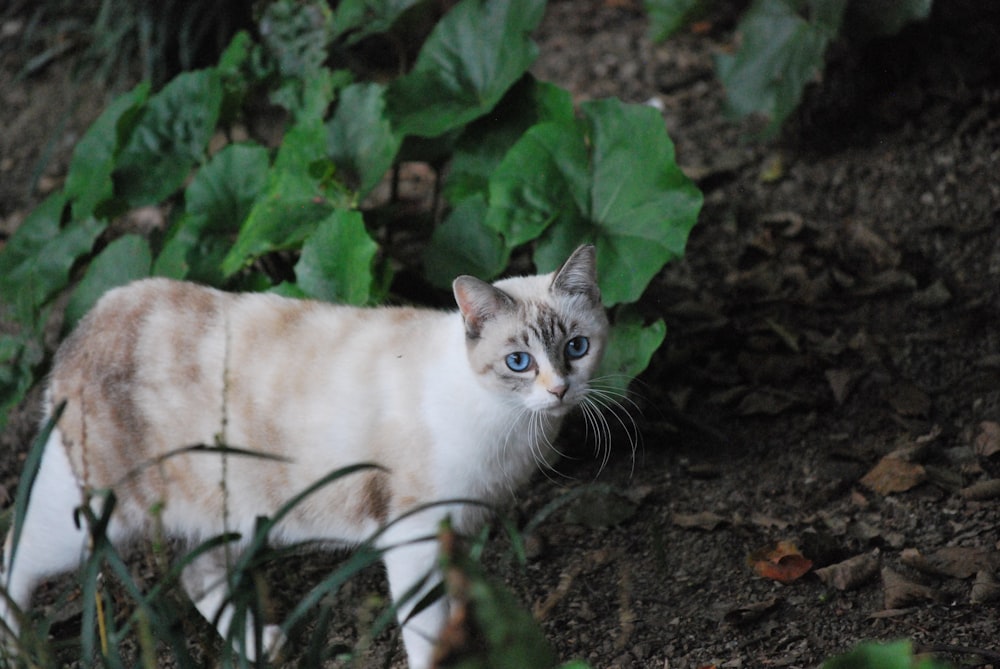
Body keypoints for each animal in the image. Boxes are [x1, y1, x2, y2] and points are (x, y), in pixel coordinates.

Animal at [0, 245, 608, 668]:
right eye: (518, 361)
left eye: (576, 347)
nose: (559, 390)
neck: (512, 425)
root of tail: (93, 316)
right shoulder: (412, 533)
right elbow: (425, 629)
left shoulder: (461, 527)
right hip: (90, 516)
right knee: (15, 551)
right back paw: (17, 647)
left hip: (230, 510)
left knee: (196, 575)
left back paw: (257, 643)